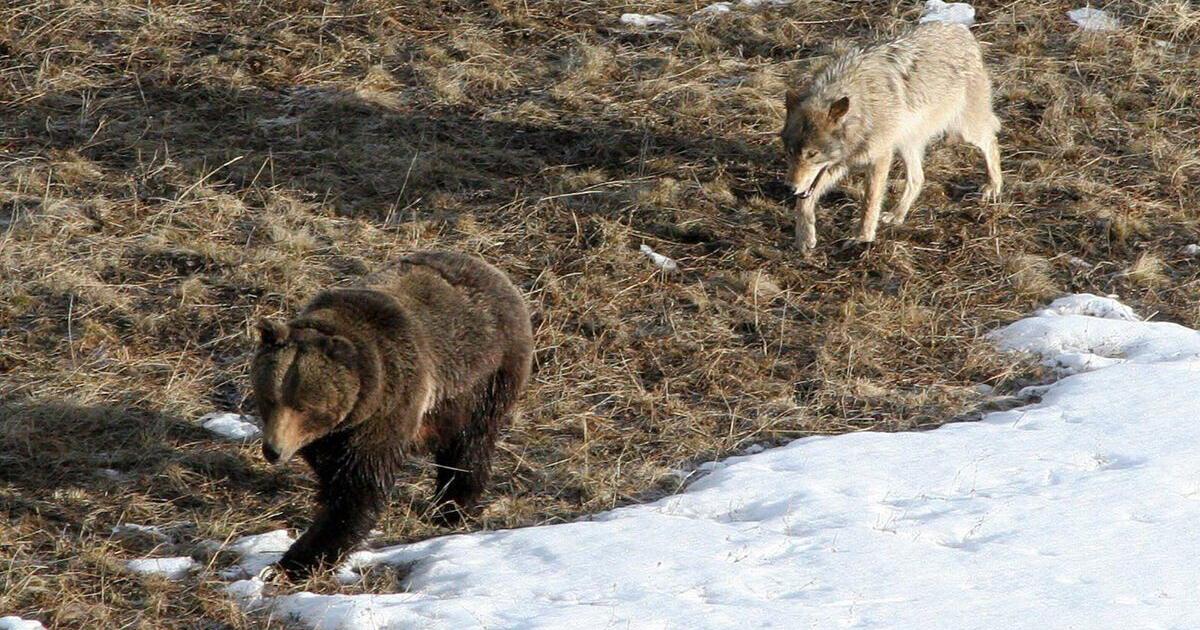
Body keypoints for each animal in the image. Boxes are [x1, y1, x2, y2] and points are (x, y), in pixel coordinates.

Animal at [250, 250, 533, 579]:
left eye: (304, 406)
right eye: (269, 398)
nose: (273, 450)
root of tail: (494, 272)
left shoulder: (389, 407)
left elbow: (359, 488)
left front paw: (297, 560)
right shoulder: (332, 435)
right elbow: (333, 472)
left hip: (483, 379)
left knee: (469, 445)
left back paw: (451, 507)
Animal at [781, 22, 1003, 253]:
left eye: (812, 154)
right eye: (790, 152)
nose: (789, 187)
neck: (862, 110)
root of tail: (961, 29)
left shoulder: (880, 158)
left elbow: (869, 202)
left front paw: (862, 237)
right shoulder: (838, 165)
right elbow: (804, 202)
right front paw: (804, 237)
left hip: (964, 129)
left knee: (991, 140)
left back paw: (993, 186)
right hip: (907, 144)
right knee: (918, 178)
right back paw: (897, 215)